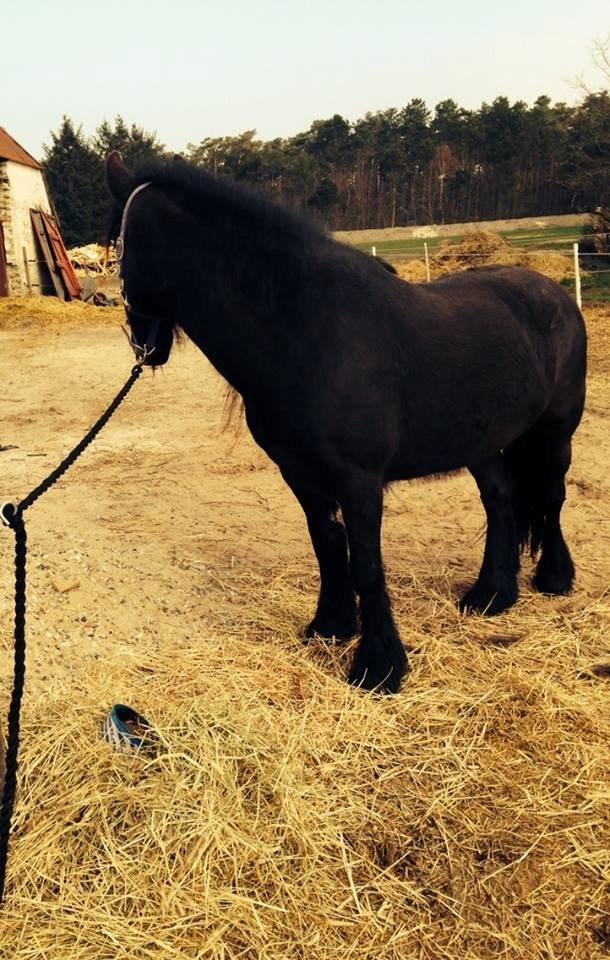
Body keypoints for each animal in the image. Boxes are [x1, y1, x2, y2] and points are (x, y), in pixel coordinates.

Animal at [106, 152, 587, 694]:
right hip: (480, 442)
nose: (144, 345)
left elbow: (368, 566)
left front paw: (379, 667)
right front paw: (331, 626)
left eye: (115, 249)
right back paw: (491, 595)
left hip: (555, 432)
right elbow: (328, 547)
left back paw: (553, 579)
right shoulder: (301, 475)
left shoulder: (359, 482)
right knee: (501, 499)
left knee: (551, 497)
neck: (306, 331)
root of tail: (555, 295)